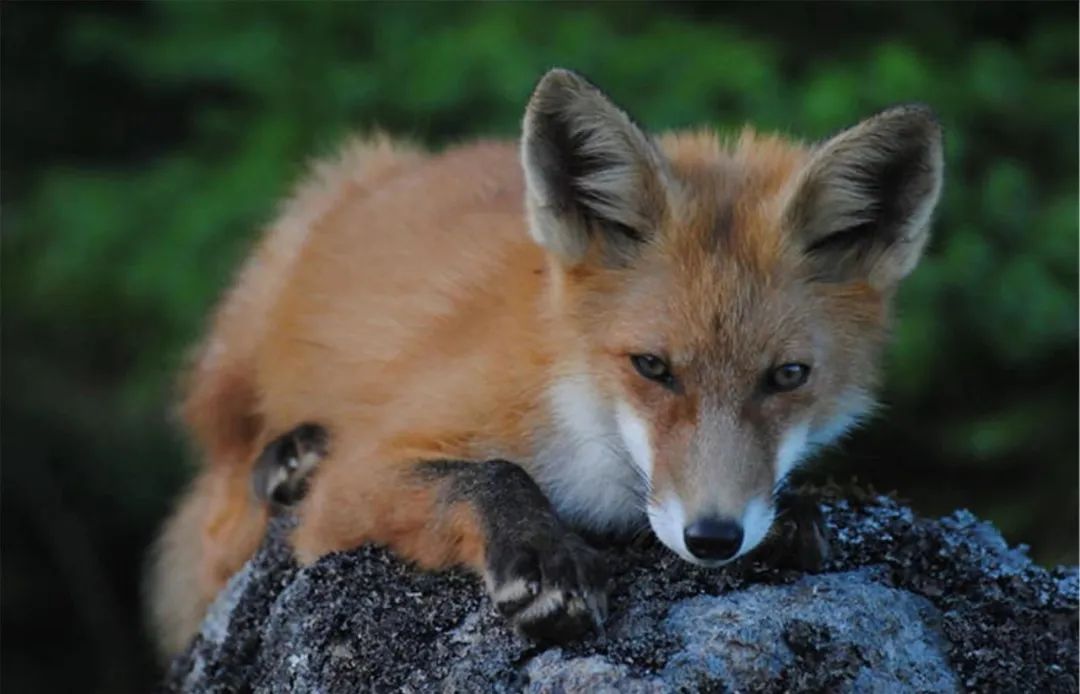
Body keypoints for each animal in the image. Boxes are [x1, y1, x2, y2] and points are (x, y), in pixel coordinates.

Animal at [147, 69, 941, 656]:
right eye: (651, 366)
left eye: (787, 377)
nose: (713, 539)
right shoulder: (354, 481)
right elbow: (492, 474)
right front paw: (542, 557)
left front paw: (793, 515)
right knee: (222, 479)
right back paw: (287, 458)